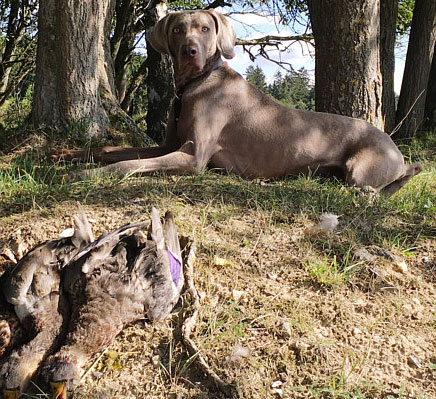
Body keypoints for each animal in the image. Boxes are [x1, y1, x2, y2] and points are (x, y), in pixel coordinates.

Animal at [58, 9, 422, 194]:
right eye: (177, 30)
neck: (195, 84)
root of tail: (396, 150)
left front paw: (80, 175)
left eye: (205, 29)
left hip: (360, 170)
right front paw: (67, 154)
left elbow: (126, 164)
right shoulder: (168, 144)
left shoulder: (192, 157)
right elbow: (113, 150)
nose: (190, 52)